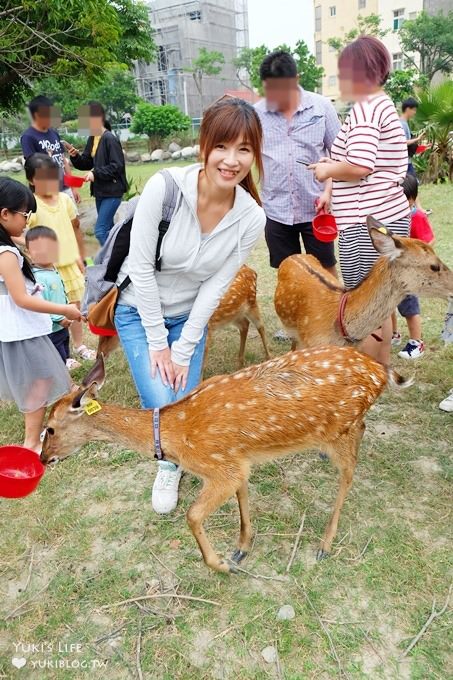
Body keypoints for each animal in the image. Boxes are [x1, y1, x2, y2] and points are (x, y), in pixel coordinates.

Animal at [39, 350, 410, 572]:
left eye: (50, 428)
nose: (44, 459)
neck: (175, 434)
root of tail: (380, 371)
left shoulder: (219, 465)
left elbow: (192, 514)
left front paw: (220, 565)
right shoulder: (237, 459)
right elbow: (243, 496)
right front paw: (242, 547)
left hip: (341, 430)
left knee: (349, 473)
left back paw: (324, 544)